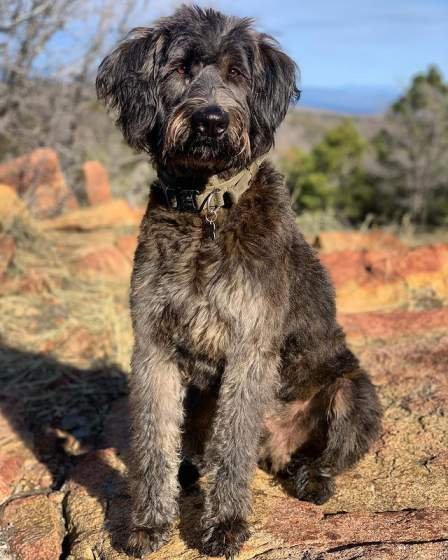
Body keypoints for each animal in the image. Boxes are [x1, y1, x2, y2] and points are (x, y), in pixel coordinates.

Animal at [95, 5, 382, 560]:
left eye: (236, 74)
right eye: (180, 68)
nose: (211, 119)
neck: (207, 210)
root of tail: (276, 450)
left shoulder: (251, 348)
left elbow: (232, 445)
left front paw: (225, 524)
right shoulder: (154, 348)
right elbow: (153, 440)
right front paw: (149, 522)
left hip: (353, 392)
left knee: (327, 455)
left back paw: (312, 478)